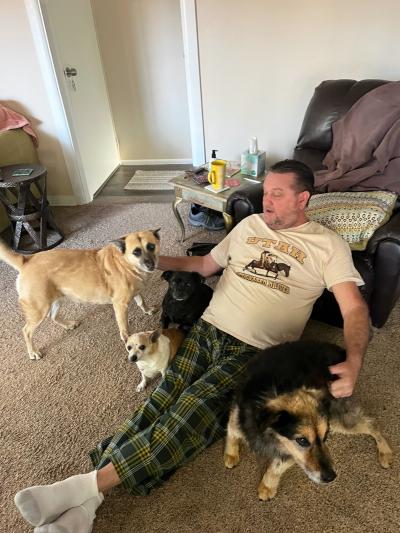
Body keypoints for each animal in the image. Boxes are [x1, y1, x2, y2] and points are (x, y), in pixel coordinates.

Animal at [1, 227, 161, 360]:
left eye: (151, 246)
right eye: (136, 252)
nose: (151, 265)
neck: (125, 263)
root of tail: (26, 261)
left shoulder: (136, 291)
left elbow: (141, 301)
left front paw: (147, 310)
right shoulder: (120, 305)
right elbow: (125, 329)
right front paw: (128, 342)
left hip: (57, 300)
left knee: (53, 316)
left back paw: (68, 325)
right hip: (39, 309)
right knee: (26, 331)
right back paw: (32, 352)